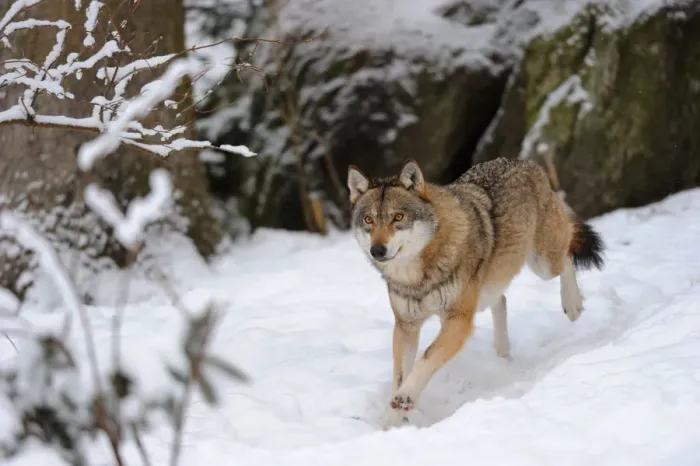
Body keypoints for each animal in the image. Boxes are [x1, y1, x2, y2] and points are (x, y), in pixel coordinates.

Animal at [346, 157, 605, 428]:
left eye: (397, 217)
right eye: (369, 220)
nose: (377, 250)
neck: (417, 278)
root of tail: (524, 162)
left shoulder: (458, 321)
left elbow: (426, 359)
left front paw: (405, 397)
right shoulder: (406, 326)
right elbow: (399, 375)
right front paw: (391, 421)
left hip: (543, 265)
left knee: (568, 253)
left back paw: (572, 304)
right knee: (502, 300)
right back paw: (502, 353)